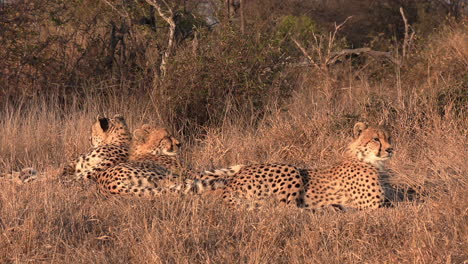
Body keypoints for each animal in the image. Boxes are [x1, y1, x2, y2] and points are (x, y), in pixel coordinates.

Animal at [187, 121, 394, 210]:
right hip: (291, 170)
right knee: (286, 210)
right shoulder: (372, 205)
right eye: (376, 139)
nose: (391, 149)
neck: (364, 157)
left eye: (389, 138)